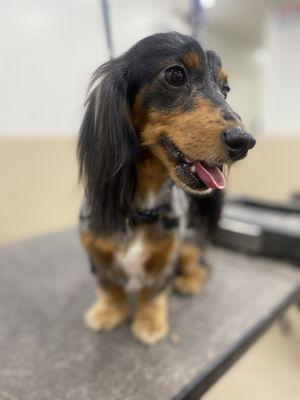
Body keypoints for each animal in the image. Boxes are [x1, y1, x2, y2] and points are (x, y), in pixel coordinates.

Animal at [77, 31, 255, 346]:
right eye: (175, 75)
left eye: (226, 89)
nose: (244, 141)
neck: (140, 210)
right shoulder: (96, 249)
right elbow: (110, 285)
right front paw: (109, 312)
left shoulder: (168, 255)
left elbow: (154, 290)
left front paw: (149, 323)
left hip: (189, 246)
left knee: (202, 265)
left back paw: (189, 282)